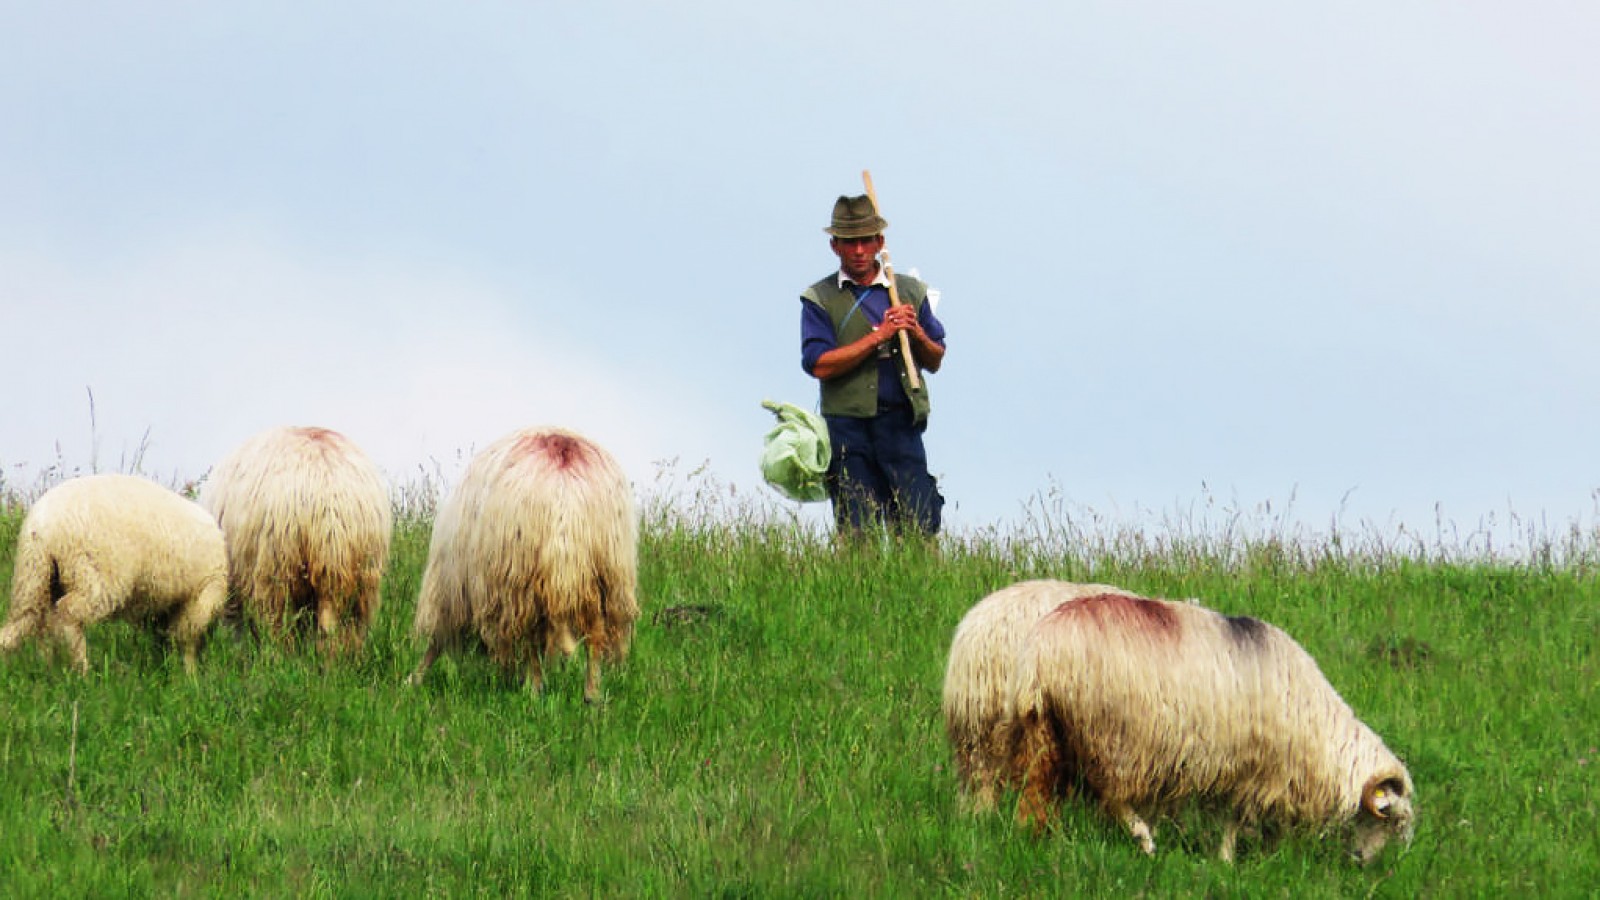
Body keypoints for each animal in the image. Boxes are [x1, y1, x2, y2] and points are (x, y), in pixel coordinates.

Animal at [0, 474, 228, 669]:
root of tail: (42, 526)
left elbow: (165, 637)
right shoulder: (203, 592)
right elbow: (187, 637)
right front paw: (189, 676)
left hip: (35, 573)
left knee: (27, 621)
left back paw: (45, 667)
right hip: (94, 571)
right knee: (67, 612)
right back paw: (82, 670)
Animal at [406, 422, 636, 701]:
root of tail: (565, 493)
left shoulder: (456, 590)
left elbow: (437, 641)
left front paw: (415, 677)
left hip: (519, 576)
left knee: (528, 632)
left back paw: (535, 690)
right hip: (606, 573)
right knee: (594, 634)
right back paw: (591, 694)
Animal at [1004, 589, 1420, 864]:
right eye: (1390, 820)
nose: (1364, 864)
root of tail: (1039, 653)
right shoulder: (1250, 767)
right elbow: (1233, 818)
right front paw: (1226, 860)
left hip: (1045, 730)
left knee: (1035, 791)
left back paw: (1034, 838)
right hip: (1109, 734)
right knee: (1111, 796)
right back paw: (1144, 839)